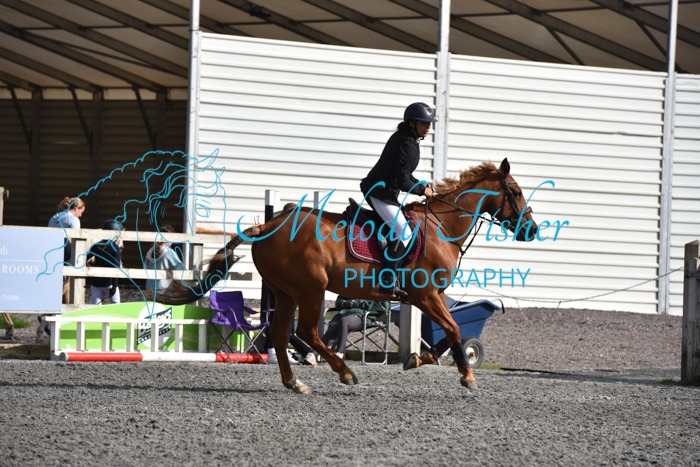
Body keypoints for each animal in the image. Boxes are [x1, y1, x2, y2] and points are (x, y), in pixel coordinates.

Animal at [154, 158, 538, 394]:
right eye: (517, 192)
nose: (532, 230)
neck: (441, 227)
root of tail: (269, 225)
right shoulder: (424, 296)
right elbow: (455, 329)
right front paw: (467, 375)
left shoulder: (434, 296)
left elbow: (449, 331)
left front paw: (417, 360)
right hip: (311, 290)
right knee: (306, 333)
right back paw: (345, 372)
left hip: (286, 292)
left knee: (280, 336)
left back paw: (295, 383)